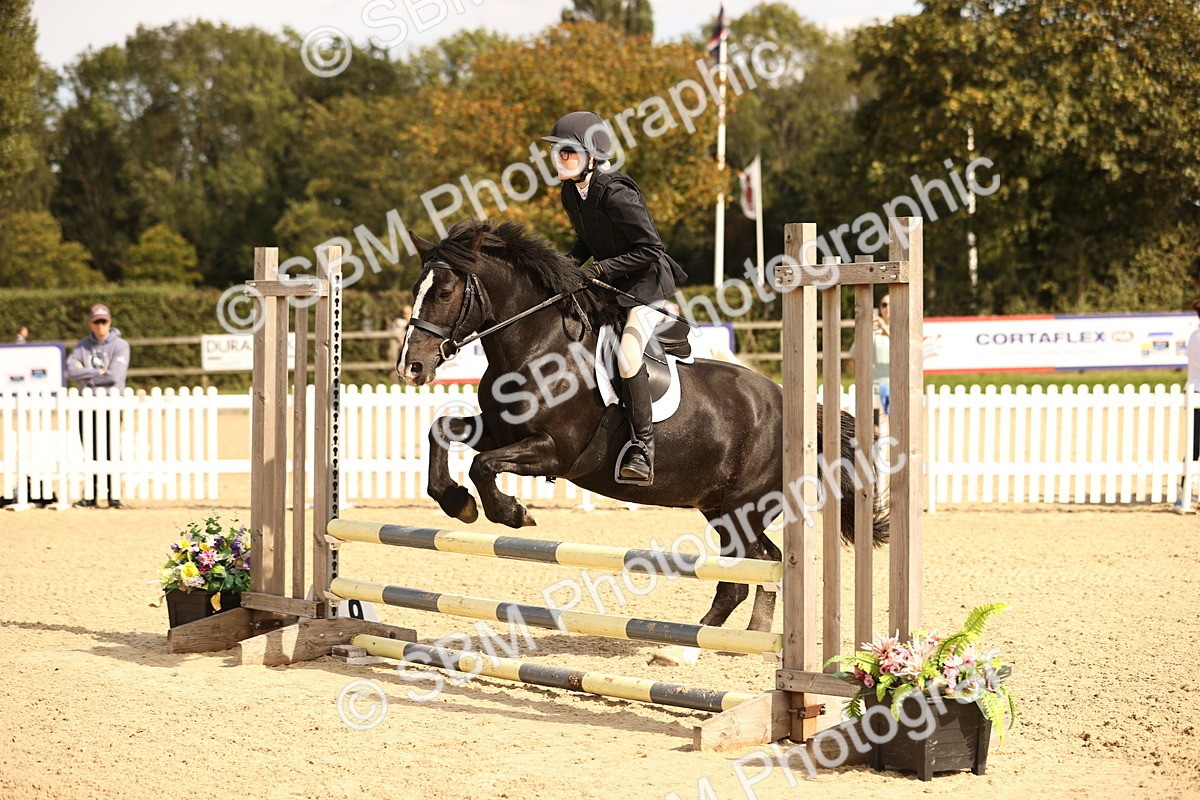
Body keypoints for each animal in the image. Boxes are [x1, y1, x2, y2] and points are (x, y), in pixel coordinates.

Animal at [398, 219, 887, 650]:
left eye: (444, 293)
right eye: (416, 290)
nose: (411, 367)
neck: (539, 346)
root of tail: (796, 408)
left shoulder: (554, 452)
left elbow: (483, 466)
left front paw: (511, 513)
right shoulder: (500, 429)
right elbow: (442, 431)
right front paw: (456, 502)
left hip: (743, 507)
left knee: (746, 574)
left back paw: (688, 646)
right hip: (723, 508)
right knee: (763, 563)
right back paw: (741, 638)